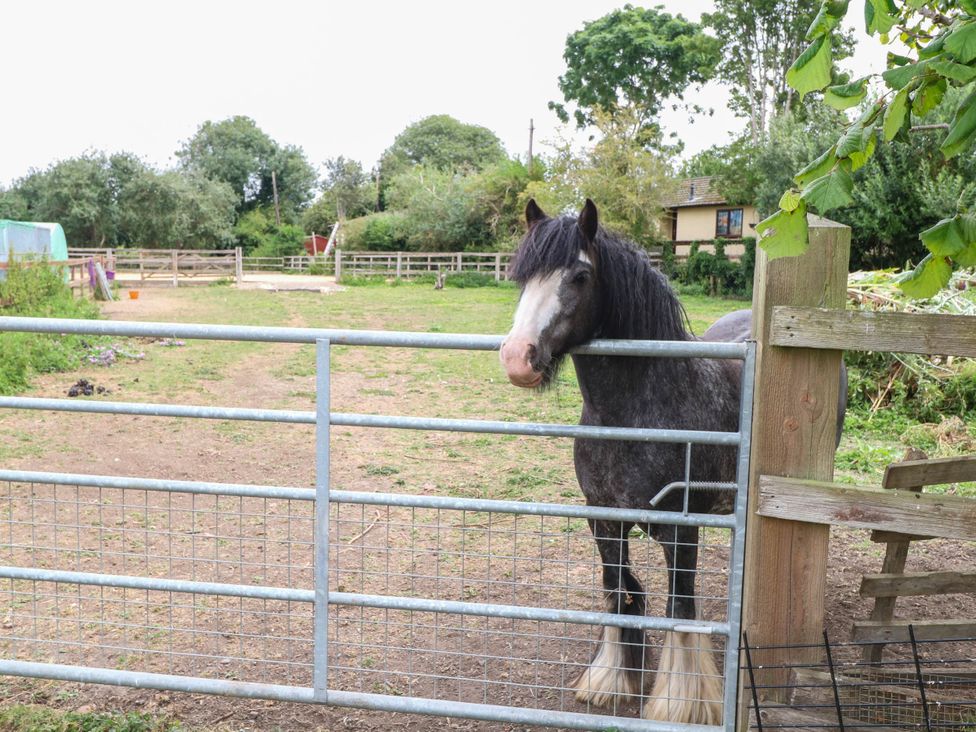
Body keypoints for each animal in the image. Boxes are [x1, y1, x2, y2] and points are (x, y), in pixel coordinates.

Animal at [499, 199, 844, 724]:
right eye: (521, 276)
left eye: (579, 275)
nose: (518, 358)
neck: (634, 412)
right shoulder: (604, 519)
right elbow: (618, 591)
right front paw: (611, 680)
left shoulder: (680, 530)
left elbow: (680, 608)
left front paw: (679, 704)